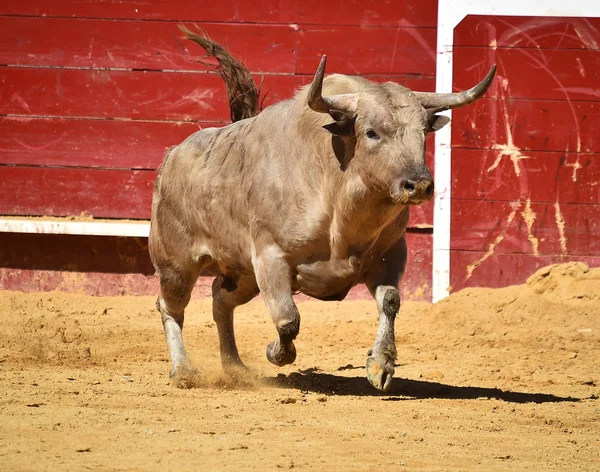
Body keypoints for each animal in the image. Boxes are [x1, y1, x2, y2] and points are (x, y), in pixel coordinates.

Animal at [148, 28, 494, 390]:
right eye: (371, 132)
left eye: (423, 131)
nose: (419, 184)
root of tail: (171, 157)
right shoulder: (270, 257)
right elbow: (288, 319)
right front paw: (275, 353)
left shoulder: (390, 254)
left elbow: (390, 301)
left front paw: (380, 365)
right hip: (177, 263)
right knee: (170, 306)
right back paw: (184, 370)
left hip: (241, 274)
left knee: (220, 300)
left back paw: (235, 368)